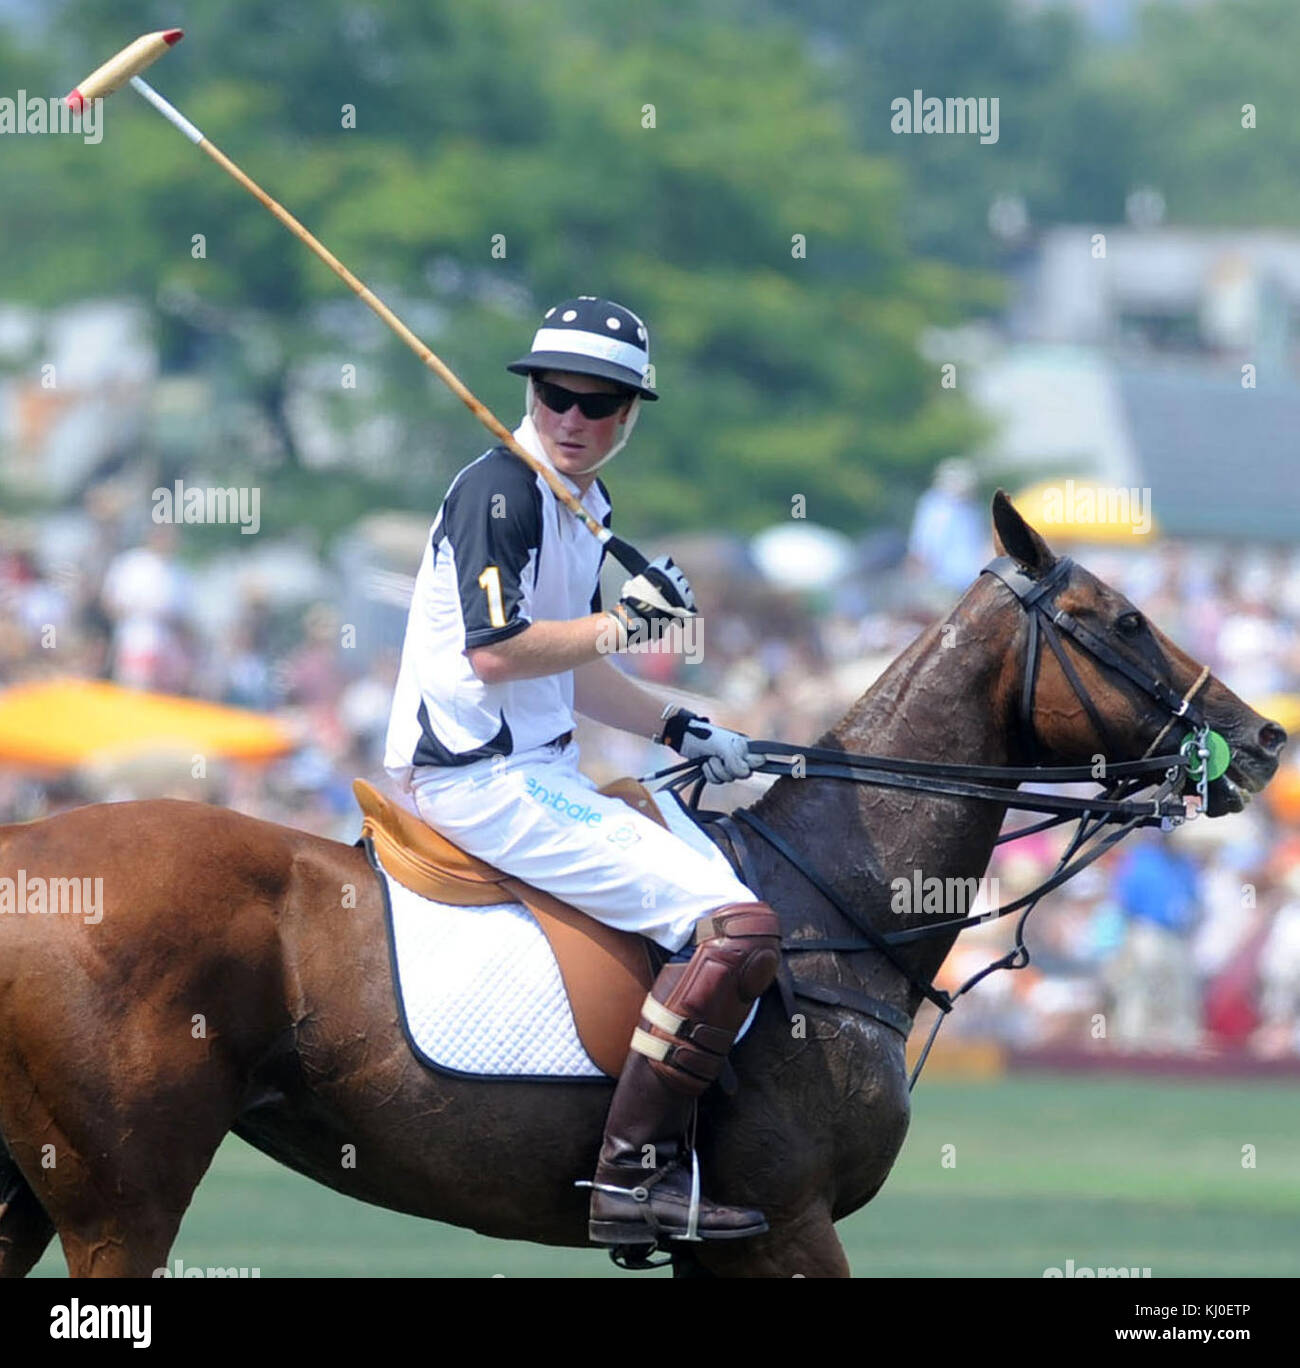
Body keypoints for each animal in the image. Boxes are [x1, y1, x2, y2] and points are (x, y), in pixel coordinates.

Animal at [0, 497, 1286, 1274]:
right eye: (1120, 617)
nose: (1265, 740)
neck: (839, 905)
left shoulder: (729, 1248)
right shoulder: (782, 1224)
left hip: (30, 1188)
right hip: (122, 1195)